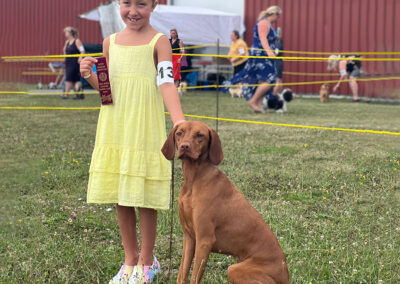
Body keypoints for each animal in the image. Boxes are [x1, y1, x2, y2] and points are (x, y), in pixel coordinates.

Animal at [161, 121, 290, 284]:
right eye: (179, 133)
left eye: (200, 135)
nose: (185, 146)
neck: (193, 181)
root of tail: (286, 274)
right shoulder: (189, 237)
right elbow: (182, 274)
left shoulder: (204, 240)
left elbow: (194, 277)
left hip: (234, 269)